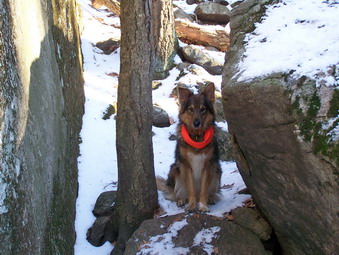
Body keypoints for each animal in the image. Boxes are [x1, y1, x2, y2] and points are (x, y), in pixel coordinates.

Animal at [161, 82, 222, 212]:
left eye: (203, 109)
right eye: (191, 109)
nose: (196, 123)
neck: (197, 136)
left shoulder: (207, 165)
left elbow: (204, 189)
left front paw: (203, 206)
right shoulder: (185, 165)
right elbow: (190, 188)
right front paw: (192, 206)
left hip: (217, 169)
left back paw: (211, 198)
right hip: (174, 168)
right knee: (176, 193)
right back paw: (181, 200)